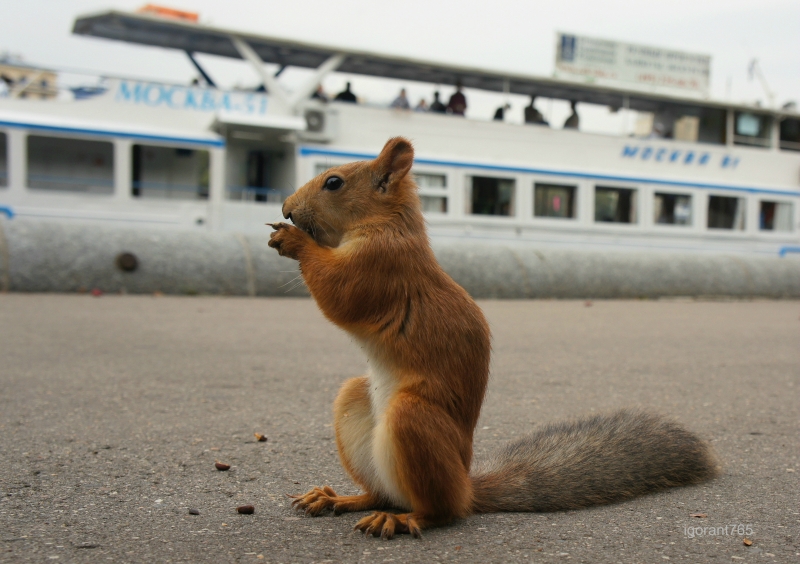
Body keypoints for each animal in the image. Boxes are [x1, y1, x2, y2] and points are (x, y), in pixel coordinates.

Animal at [268, 139, 720, 540]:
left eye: (333, 182)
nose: (286, 208)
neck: (387, 223)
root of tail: (466, 488)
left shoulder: (380, 266)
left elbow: (339, 293)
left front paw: (292, 240)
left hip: (414, 420)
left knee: (438, 510)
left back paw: (402, 519)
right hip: (355, 403)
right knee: (381, 492)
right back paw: (339, 499)